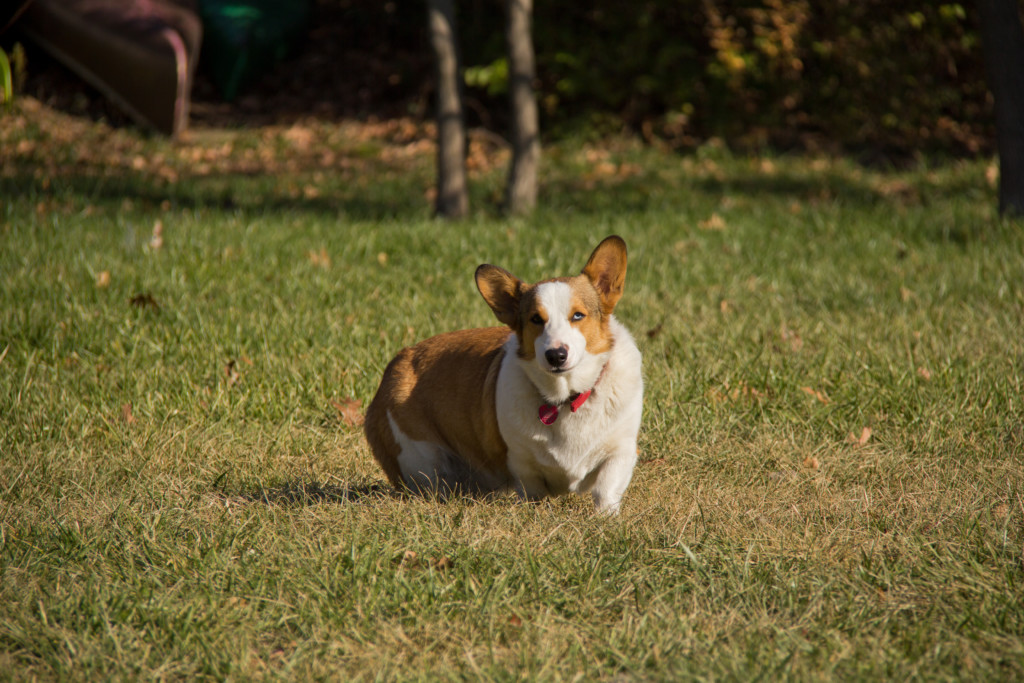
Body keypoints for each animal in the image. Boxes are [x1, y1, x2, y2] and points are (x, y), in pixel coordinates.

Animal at [364, 235, 643, 511]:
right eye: (535, 319)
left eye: (577, 315)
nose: (555, 355)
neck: (566, 398)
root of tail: (397, 363)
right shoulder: (522, 462)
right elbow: (532, 489)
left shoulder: (621, 450)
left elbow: (606, 490)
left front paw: (605, 517)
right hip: (420, 457)